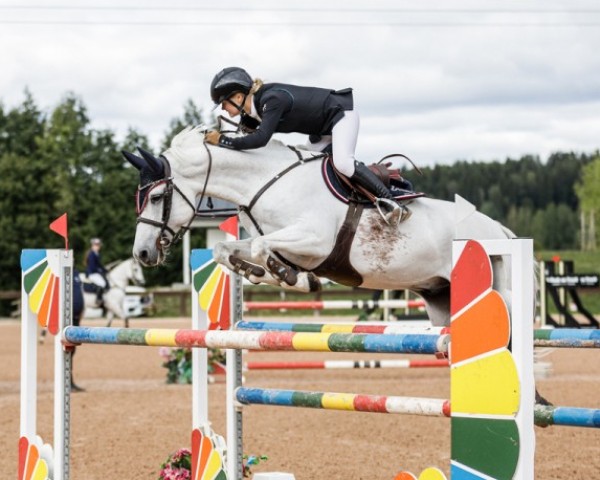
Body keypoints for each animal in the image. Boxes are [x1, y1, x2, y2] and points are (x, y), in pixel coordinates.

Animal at [123, 126, 524, 326]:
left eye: (156, 197)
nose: (141, 253)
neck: (265, 181)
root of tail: (500, 231)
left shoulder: (314, 241)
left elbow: (265, 251)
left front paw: (290, 277)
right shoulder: (272, 237)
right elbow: (227, 249)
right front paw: (259, 272)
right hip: (440, 297)